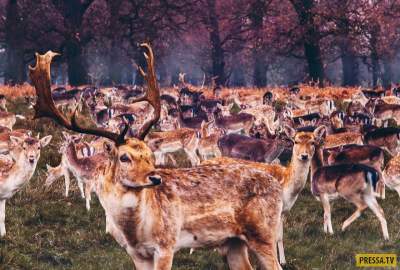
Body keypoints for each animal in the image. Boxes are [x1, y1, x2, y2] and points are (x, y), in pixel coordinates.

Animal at [32, 46, 284, 270]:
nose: (154, 178)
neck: (135, 230)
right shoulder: (135, 253)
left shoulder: (166, 244)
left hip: (263, 233)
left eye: (149, 154)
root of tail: (277, 185)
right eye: (124, 157)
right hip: (233, 242)